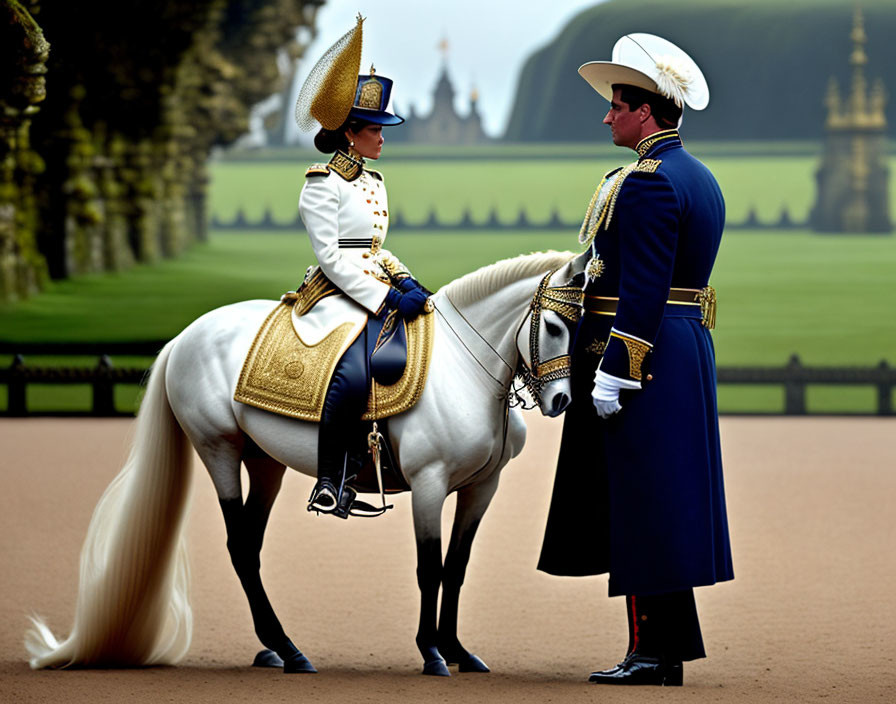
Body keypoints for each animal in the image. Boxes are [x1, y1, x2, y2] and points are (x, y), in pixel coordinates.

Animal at [24, 252, 584, 676]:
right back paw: (289, 649)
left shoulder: (480, 487)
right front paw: (431, 652)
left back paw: (275, 647)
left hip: (264, 462)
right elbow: (429, 567)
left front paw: (457, 649)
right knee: (239, 548)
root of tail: (185, 336)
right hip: (219, 448)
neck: (464, 368)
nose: (561, 402)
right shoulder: (429, 484)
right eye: (556, 326)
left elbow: (456, 567)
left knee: (250, 542)